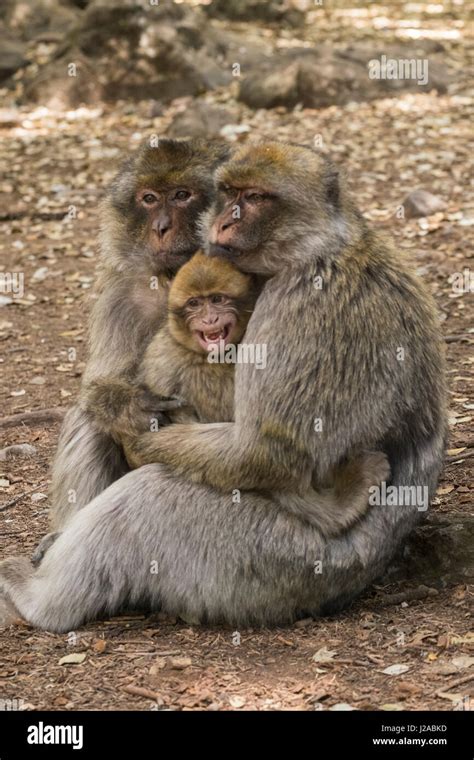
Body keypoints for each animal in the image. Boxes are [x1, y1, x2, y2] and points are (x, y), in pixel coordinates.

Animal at [45, 138, 231, 540]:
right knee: (89, 416)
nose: (160, 227)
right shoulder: (122, 295)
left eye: (181, 195)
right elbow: (101, 385)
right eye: (148, 198)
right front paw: (136, 406)